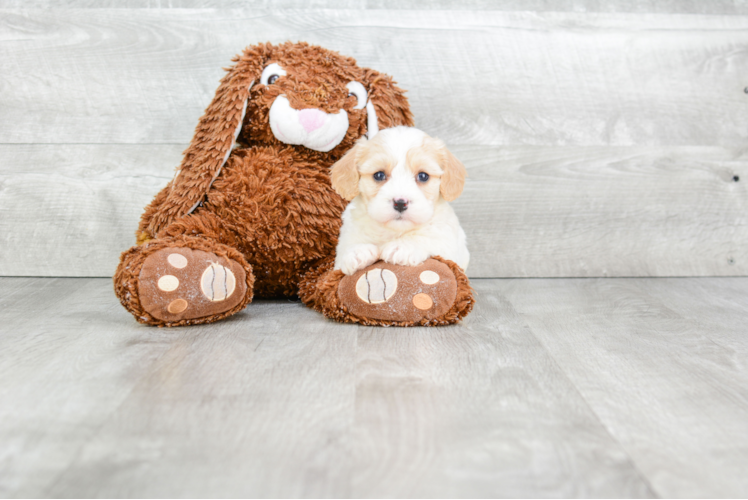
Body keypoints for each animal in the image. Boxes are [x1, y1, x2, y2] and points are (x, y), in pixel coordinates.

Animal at [328, 125, 468, 274]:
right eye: (379, 175)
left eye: (423, 176)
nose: (400, 203)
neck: (394, 232)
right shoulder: (346, 240)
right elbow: (349, 246)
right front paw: (357, 251)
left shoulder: (447, 245)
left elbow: (427, 238)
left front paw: (403, 247)